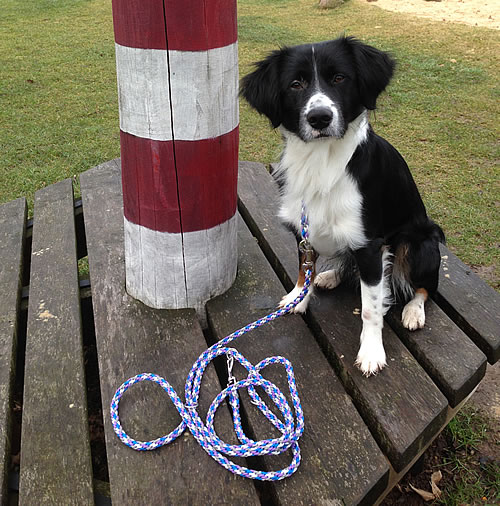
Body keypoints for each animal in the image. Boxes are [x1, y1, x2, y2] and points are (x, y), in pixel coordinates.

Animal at [240, 35, 444, 376]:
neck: (321, 162)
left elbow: (371, 307)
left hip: (419, 241)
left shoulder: (371, 245)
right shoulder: (304, 230)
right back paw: (332, 275)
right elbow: (303, 269)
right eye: (295, 84)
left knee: (426, 286)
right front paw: (299, 297)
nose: (319, 117)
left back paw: (414, 311)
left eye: (339, 78)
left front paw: (372, 352)